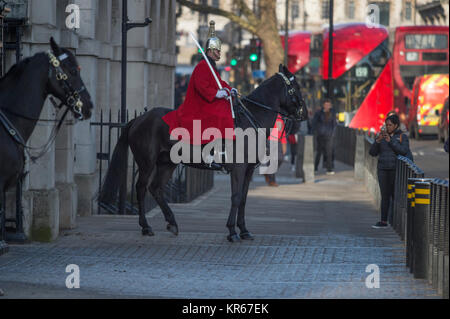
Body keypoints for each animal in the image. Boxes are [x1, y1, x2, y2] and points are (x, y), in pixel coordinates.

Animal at [100, 64, 308, 242]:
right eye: (296, 86)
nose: (305, 114)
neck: (250, 120)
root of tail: (140, 118)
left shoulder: (248, 170)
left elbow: (243, 199)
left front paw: (244, 230)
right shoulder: (239, 168)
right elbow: (236, 197)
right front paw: (232, 232)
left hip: (167, 163)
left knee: (156, 188)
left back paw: (172, 223)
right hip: (146, 163)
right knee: (142, 188)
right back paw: (146, 226)